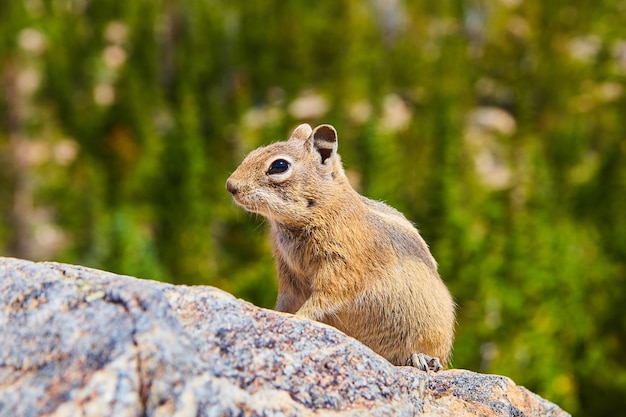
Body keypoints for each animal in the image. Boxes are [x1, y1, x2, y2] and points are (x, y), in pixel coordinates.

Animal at [224, 123, 454, 370]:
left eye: (279, 166)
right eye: (252, 154)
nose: (230, 186)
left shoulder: (342, 267)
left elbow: (325, 297)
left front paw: (299, 317)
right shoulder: (288, 273)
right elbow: (286, 300)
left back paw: (421, 358)